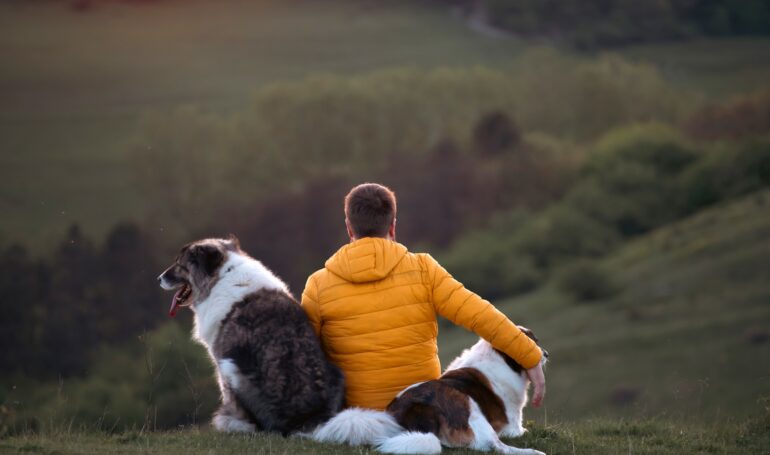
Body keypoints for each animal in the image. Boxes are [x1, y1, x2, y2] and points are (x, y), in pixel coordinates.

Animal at [158, 237, 344, 436]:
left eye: (180, 264)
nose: (159, 278)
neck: (221, 276)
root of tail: (309, 417)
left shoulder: (221, 361)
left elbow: (226, 393)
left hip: (233, 365)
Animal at [312, 330, 544, 454]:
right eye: (534, 342)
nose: (546, 354)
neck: (497, 357)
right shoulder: (512, 426)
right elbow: (517, 432)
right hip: (466, 405)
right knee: (495, 446)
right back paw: (534, 451)